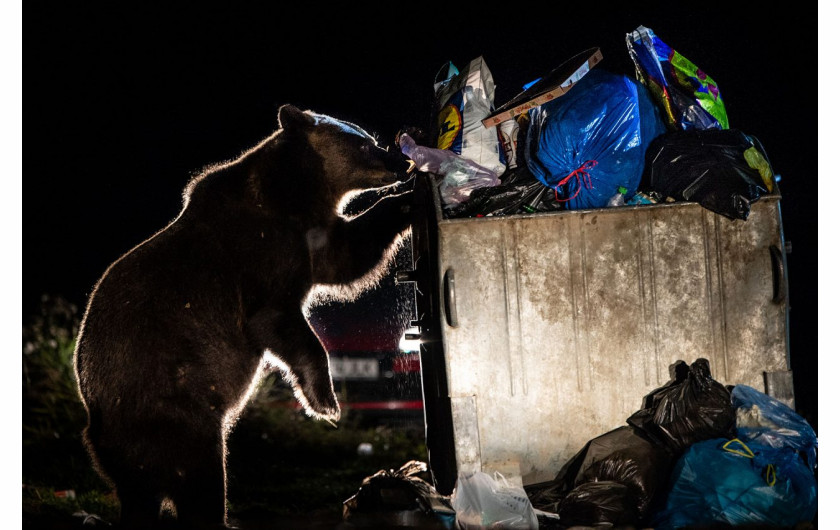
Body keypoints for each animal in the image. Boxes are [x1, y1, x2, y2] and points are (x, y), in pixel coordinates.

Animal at [74, 105, 414, 524]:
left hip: (130, 453)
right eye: (365, 143)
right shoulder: (260, 254)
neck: (295, 195)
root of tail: (96, 425)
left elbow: (346, 256)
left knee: (143, 495)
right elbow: (277, 319)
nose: (403, 161)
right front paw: (325, 402)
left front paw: (405, 201)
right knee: (200, 478)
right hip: (175, 414)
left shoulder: (310, 236)